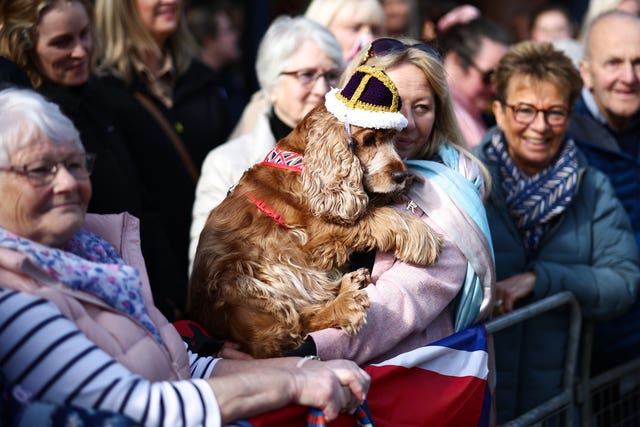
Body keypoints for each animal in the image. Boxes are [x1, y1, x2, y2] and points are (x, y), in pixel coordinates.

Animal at [188, 65, 442, 358]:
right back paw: (347, 302)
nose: (401, 175)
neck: (303, 161)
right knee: (295, 326)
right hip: (254, 284)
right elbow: (379, 217)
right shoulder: (320, 234)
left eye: (394, 139)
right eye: (368, 140)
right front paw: (423, 237)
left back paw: (351, 284)